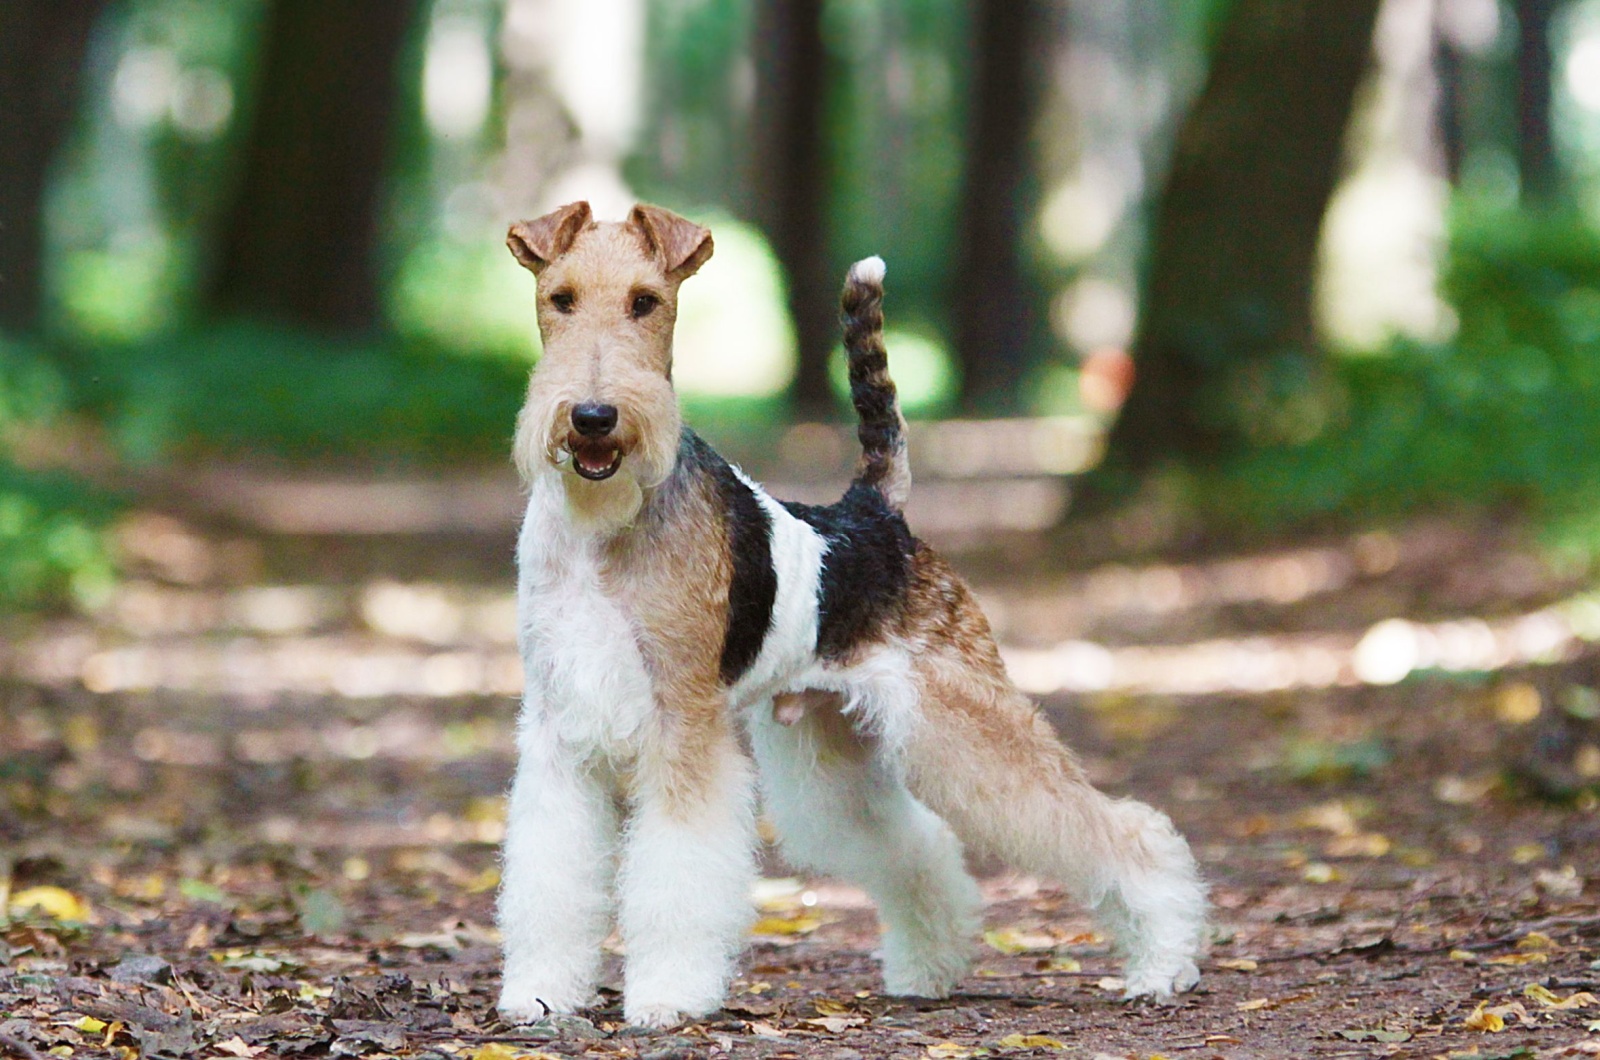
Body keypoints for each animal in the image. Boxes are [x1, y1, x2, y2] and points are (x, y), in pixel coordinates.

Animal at [496, 199, 1203, 1031]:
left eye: (646, 301)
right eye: (560, 298)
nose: (594, 416)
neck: (602, 526)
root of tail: (878, 507)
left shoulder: (684, 722)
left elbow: (677, 874)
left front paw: (669, 996)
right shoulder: (559, 732)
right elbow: (548, 877)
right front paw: (540, 992)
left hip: (965, 725)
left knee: (1118, 829)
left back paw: (1161, 962)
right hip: (835, 748)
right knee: (920, 849)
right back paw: (928, 969)